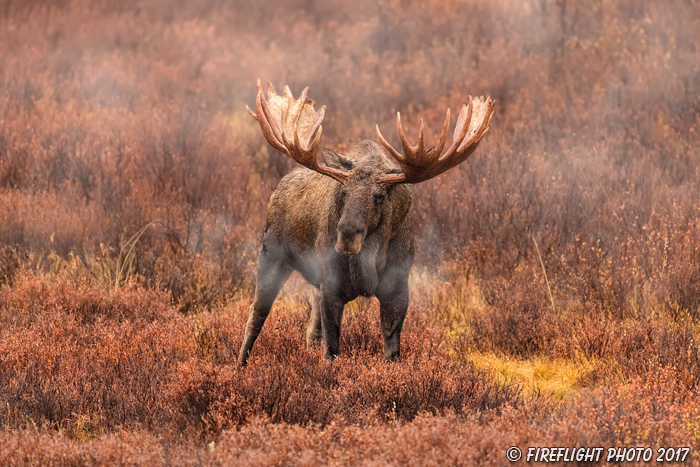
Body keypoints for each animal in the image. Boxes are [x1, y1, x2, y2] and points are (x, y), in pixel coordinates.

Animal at [238, 80, 494, 366]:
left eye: (379, 196)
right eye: (342, 191)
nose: (347, 237)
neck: (370, 262)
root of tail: (277, 189)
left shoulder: (397, 288)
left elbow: (391, 349)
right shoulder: (332, 286)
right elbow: (332, 350)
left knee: (310, 326)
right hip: (271, 255)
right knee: (256, 313)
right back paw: (240, 364)